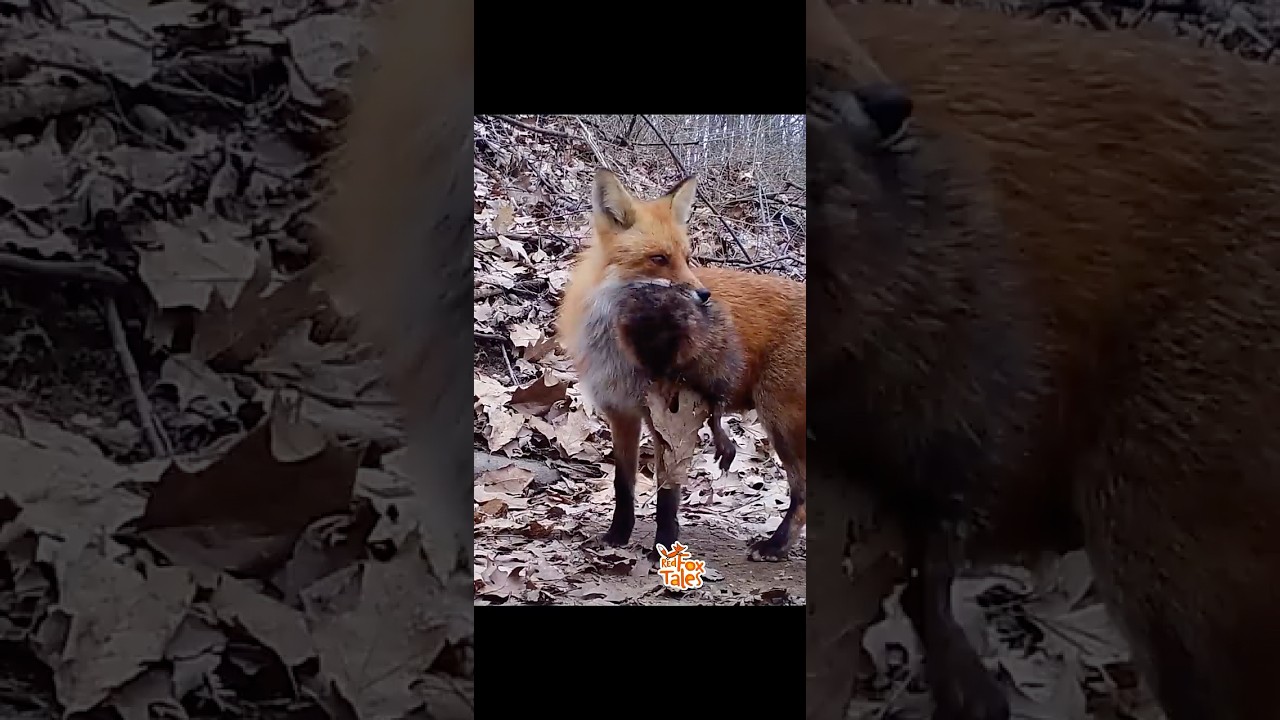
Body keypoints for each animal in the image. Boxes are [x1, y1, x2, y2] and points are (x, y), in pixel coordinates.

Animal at [557, 168, 807, 562]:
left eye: (687, 258)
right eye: (659, 258)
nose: (704, 296)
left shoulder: (670, 414)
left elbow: (667, 494)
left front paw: (664, 544)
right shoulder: (620, 413)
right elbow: (623, 484)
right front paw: (618, 534)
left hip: (780, 418)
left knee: (803, 494)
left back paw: (776, 545)